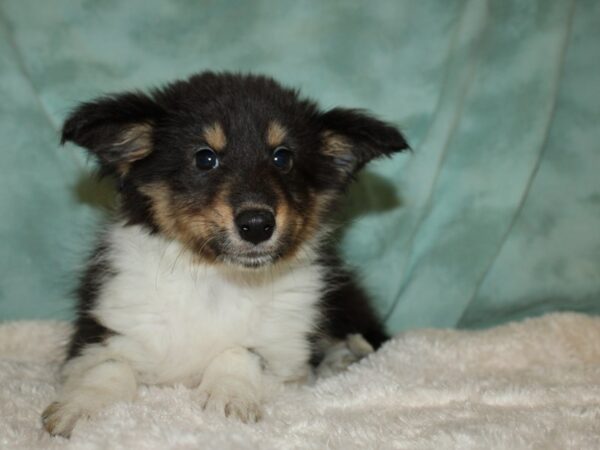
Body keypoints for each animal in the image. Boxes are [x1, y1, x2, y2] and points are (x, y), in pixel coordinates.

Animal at [41, 73, 408, 436]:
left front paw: (228, 400)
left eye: (283, 157)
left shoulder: (285, 353)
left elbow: (239, 351)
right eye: (205, 158)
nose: (257, 225)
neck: (216, 278)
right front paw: (80, 409)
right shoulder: (102, 328)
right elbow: (110, 365)